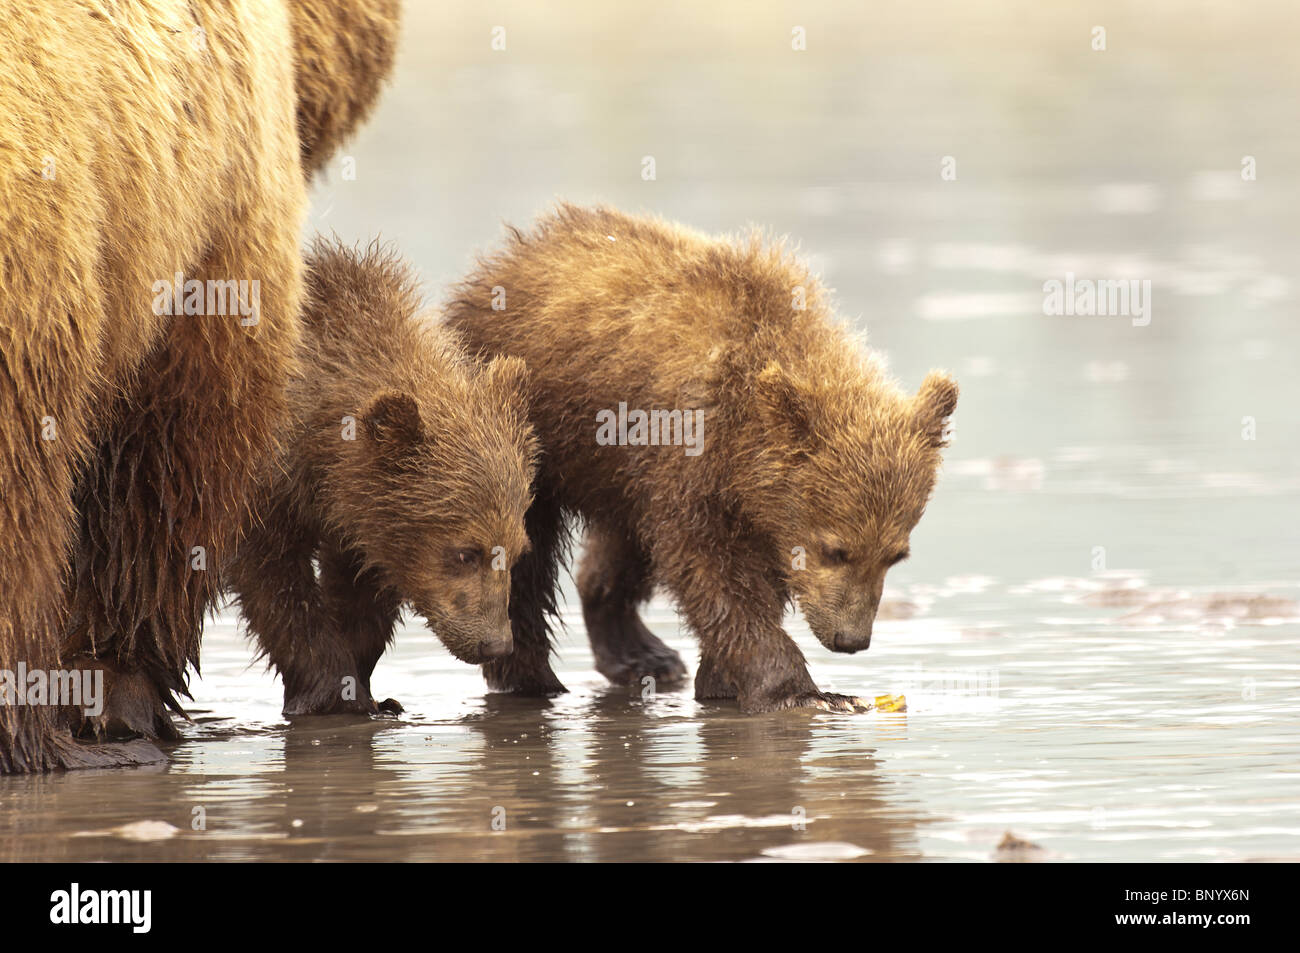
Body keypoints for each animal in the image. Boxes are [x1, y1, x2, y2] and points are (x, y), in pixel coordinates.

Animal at [225, 239, 538, 717]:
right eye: (465, 552)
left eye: (517, 552)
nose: (496, 644)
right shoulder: (262, 490)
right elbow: (273, 581)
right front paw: (330, 690)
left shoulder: (365, 517)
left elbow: (361, 589)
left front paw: (369, 689)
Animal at [445, 204, 958, 713]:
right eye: (836, 549)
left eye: (894, 555)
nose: (851, 640)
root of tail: (506, 257)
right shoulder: (689, 455)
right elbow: (712, 569)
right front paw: (795, 689)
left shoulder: (743, 494)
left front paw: (719, 678)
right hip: (526, 437)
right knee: (520, 554)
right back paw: (533, 677)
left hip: (616, 473)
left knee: (621, 549)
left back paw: (642, 655)